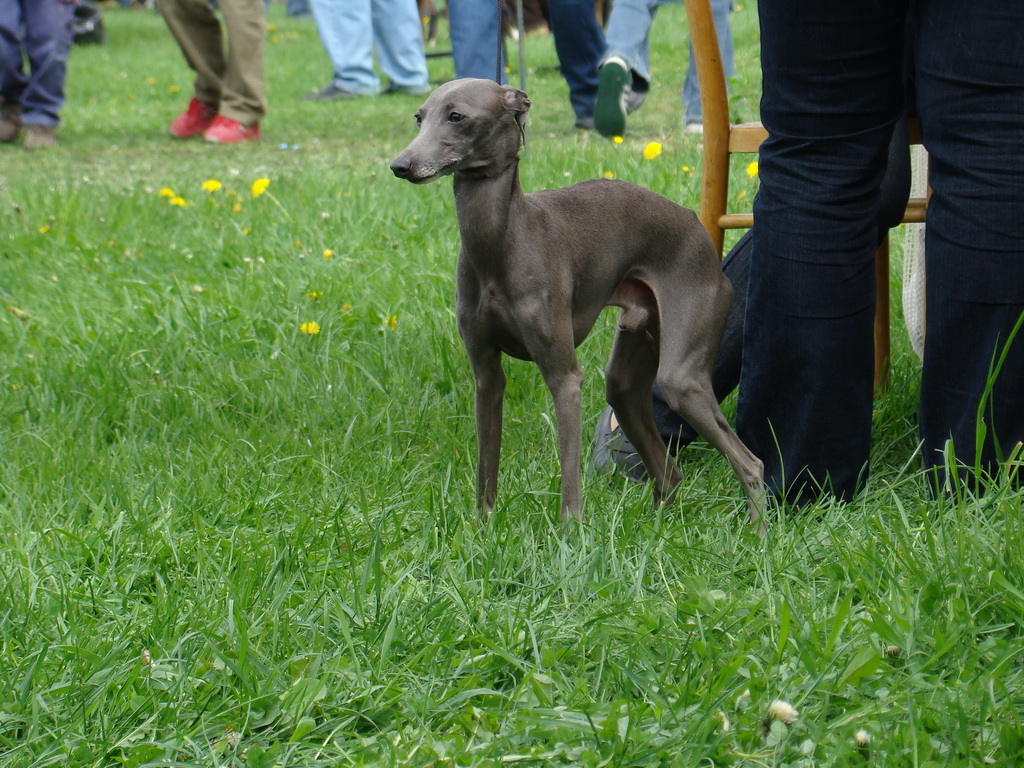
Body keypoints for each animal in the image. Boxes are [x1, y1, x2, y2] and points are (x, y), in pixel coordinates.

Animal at [387, 79, 765, 528]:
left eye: (457, 115)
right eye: (419, 117)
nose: (400, 165)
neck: (504, 239)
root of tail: (693, 220)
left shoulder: (565, 377)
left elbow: (569, 470)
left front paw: (571, 533)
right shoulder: (485, 376)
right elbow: (485, 466)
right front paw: (484, 527)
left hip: (682, 376)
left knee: (750, 463)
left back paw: (761, 533)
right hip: (626, 376)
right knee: (669, 470)